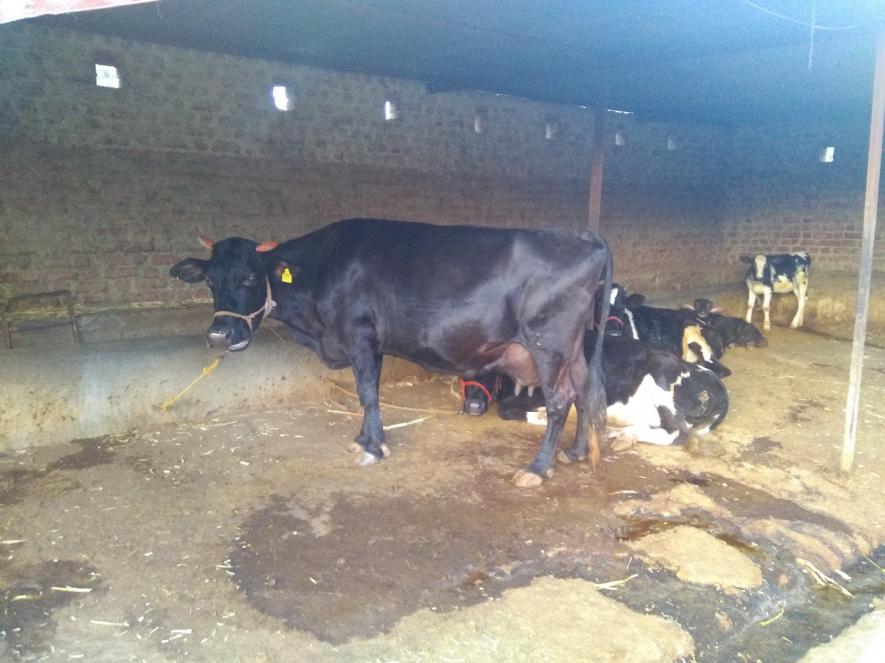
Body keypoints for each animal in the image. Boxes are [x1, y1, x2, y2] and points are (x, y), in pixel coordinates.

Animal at [170, 218, 612, 487]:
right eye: (209, 280)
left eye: (249, 276)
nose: (220, 335)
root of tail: (582, 237)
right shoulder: (372, 343)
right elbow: (370, 392)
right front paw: (365, 439)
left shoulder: (358, 332)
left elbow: (366, 391)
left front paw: (371, 449)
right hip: (574, 349)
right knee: (583, 391)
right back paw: (574, 453)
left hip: (549, 343)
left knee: (559, 400)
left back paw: (536, 468)